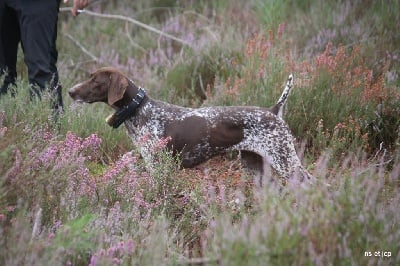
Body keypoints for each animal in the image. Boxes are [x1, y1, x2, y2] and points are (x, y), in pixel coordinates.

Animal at [68, 66, 312, 183]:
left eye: (95, 80)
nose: (70, 91)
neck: (140, 110)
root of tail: (273, 110)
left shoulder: (158, 167)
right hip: (255, 165)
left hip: (285, 160)